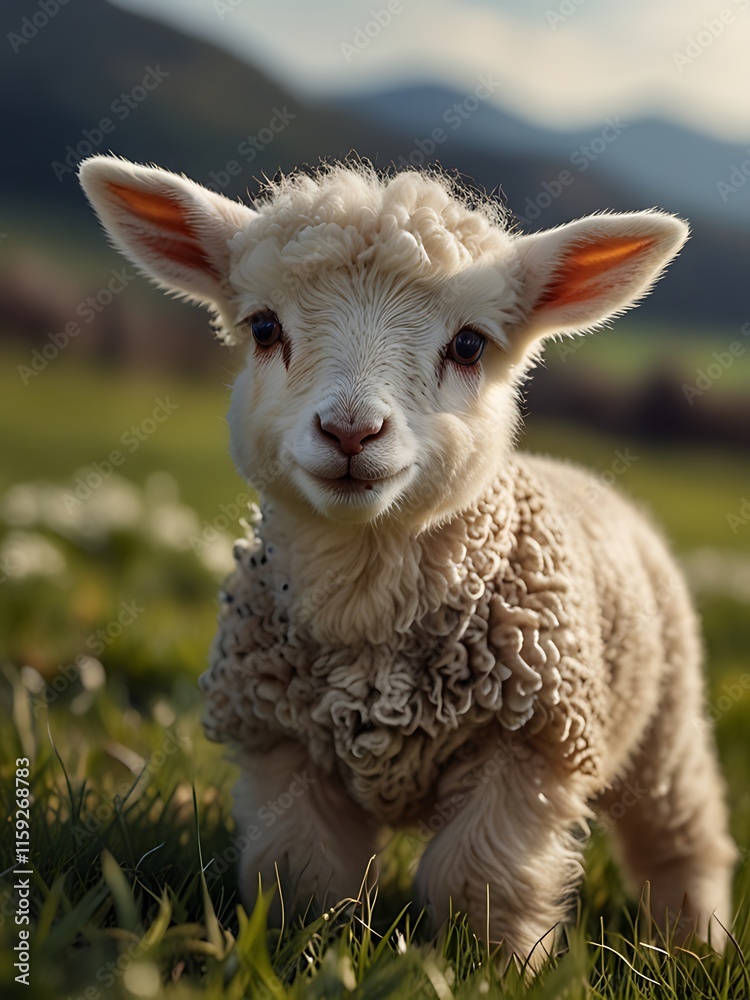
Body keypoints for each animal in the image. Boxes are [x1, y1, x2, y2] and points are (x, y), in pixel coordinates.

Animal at [79, 155, 736, 966]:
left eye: (469, 345)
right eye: (264, 327)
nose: (350, 431)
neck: (367, 600)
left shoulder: (527, 744)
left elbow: (476, 882)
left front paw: (491, 970)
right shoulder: (283, 746)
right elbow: (304, 877)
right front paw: (304, 951)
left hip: (664, 718)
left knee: (681, 835)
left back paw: (694, 942)